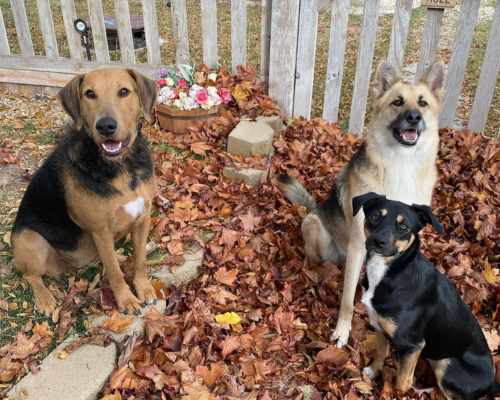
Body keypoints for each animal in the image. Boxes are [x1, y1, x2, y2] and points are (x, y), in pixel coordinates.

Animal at [11, 70, 159, 318]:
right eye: (89, 94)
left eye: (124, 91)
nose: (106, 126)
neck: (120, 167)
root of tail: (72, 266)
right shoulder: (100, 230)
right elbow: (114, 273)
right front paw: (126, 300)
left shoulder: (142, 218)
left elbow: (140, 261)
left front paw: (144, 288)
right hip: (27, 238)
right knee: (31, 276)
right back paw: (44, 298)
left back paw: (121, 257)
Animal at [278, 58, 446, 346]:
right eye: (398, 102)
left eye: (423, 103)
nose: (414, 117)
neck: (401, 164)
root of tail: (314, 208)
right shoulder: (359, 245)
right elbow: (347, 298)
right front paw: (343, 330)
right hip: (318, 231)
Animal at [354, 192, 498, 398]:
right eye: (375, 216)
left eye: (404, 226)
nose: (378, 242)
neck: (391, 272)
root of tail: (491, 383)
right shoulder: (379, 326)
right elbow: (381, 353)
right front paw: (373, 372)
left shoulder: (412, 345)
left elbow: (402, 383)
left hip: (448, 366)